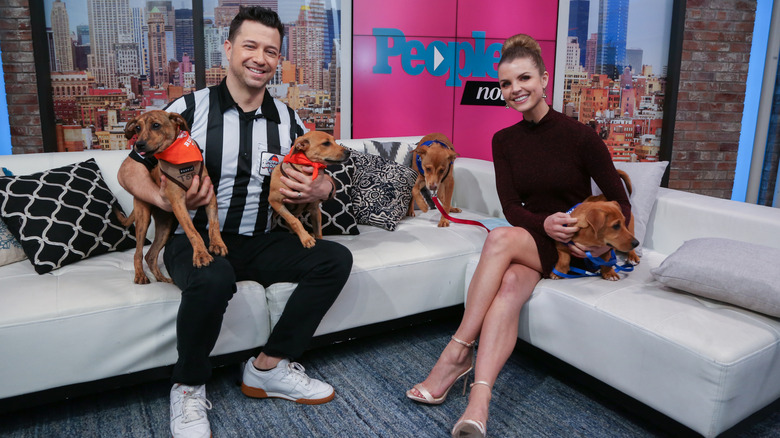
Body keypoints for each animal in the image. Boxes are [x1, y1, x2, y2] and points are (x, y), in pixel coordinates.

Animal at [119, 110, 227, 284]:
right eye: (137, 128)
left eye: (156, 125)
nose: (138, 144)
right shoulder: (178, 203)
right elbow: (192, 231)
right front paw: (201, 255)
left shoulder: (209, 195)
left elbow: (214, 222)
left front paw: (217, 244)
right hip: (143, 219)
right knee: (138, 253)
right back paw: (140, 275)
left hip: (165, 226)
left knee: (150, 255)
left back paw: (163, 279)